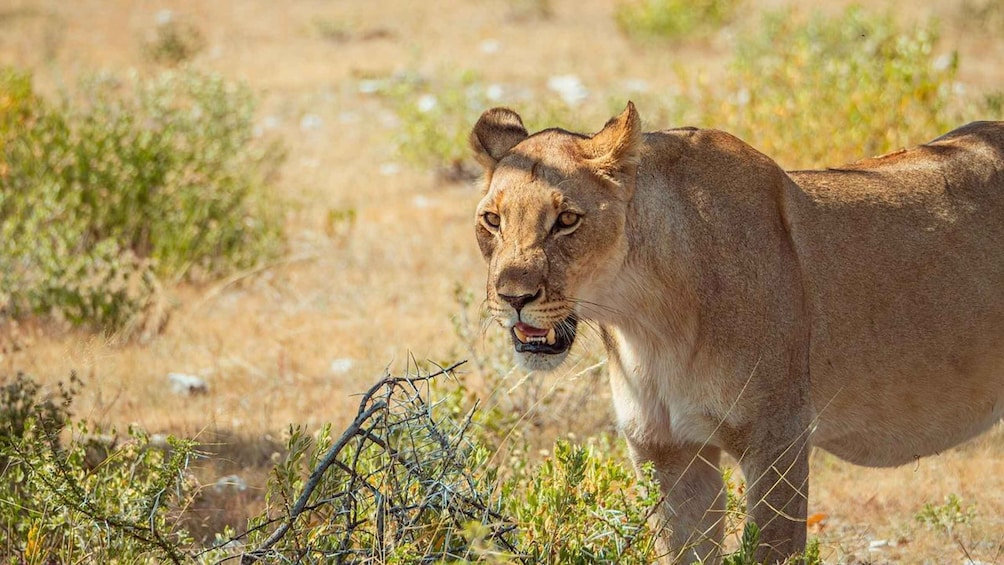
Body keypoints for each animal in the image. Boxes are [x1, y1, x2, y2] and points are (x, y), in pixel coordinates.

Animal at [470, 102, 1004, 564]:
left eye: (567, 220)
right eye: (492, 220)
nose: (513, 297)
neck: (646, 322)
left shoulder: (777, 439)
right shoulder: (667, 452)